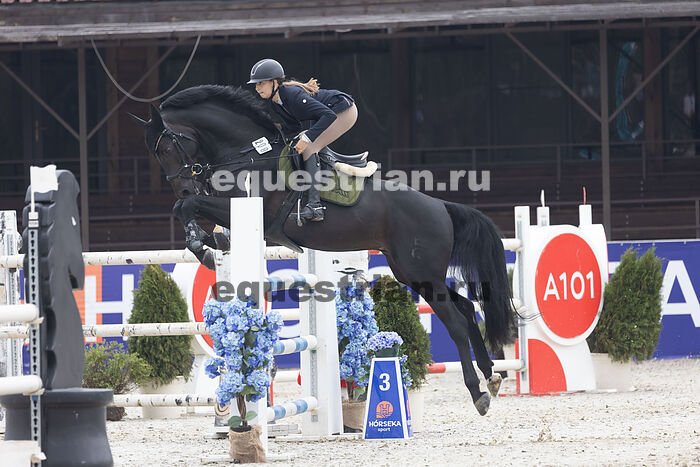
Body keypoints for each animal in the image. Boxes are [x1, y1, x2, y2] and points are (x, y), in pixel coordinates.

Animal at [130, 85, 514, 415]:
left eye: (166, 148)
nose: (182, 187)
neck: (248, 154)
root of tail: (441, 206)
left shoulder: (248, 209)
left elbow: (190, 207)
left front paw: (202, 245)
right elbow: (188, 211)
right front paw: (210, 244)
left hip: (420, 273)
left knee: (457, 322)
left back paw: (478, 394)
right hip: (416, 274)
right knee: (467, 307)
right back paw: (492, 375)